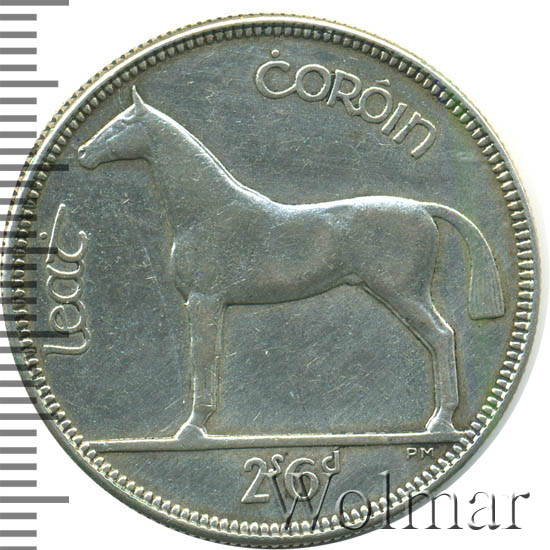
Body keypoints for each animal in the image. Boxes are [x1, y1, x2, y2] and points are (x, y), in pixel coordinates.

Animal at [78, 86, 504, 442]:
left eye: (120, 124)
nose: (83, 153)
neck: (209, 211)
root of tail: (422, 207)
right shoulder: (209, 302)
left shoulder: (204, 299)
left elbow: (203, 358)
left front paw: (193, 427)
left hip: (403, 293)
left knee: (442, 336)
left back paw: (440, 421)